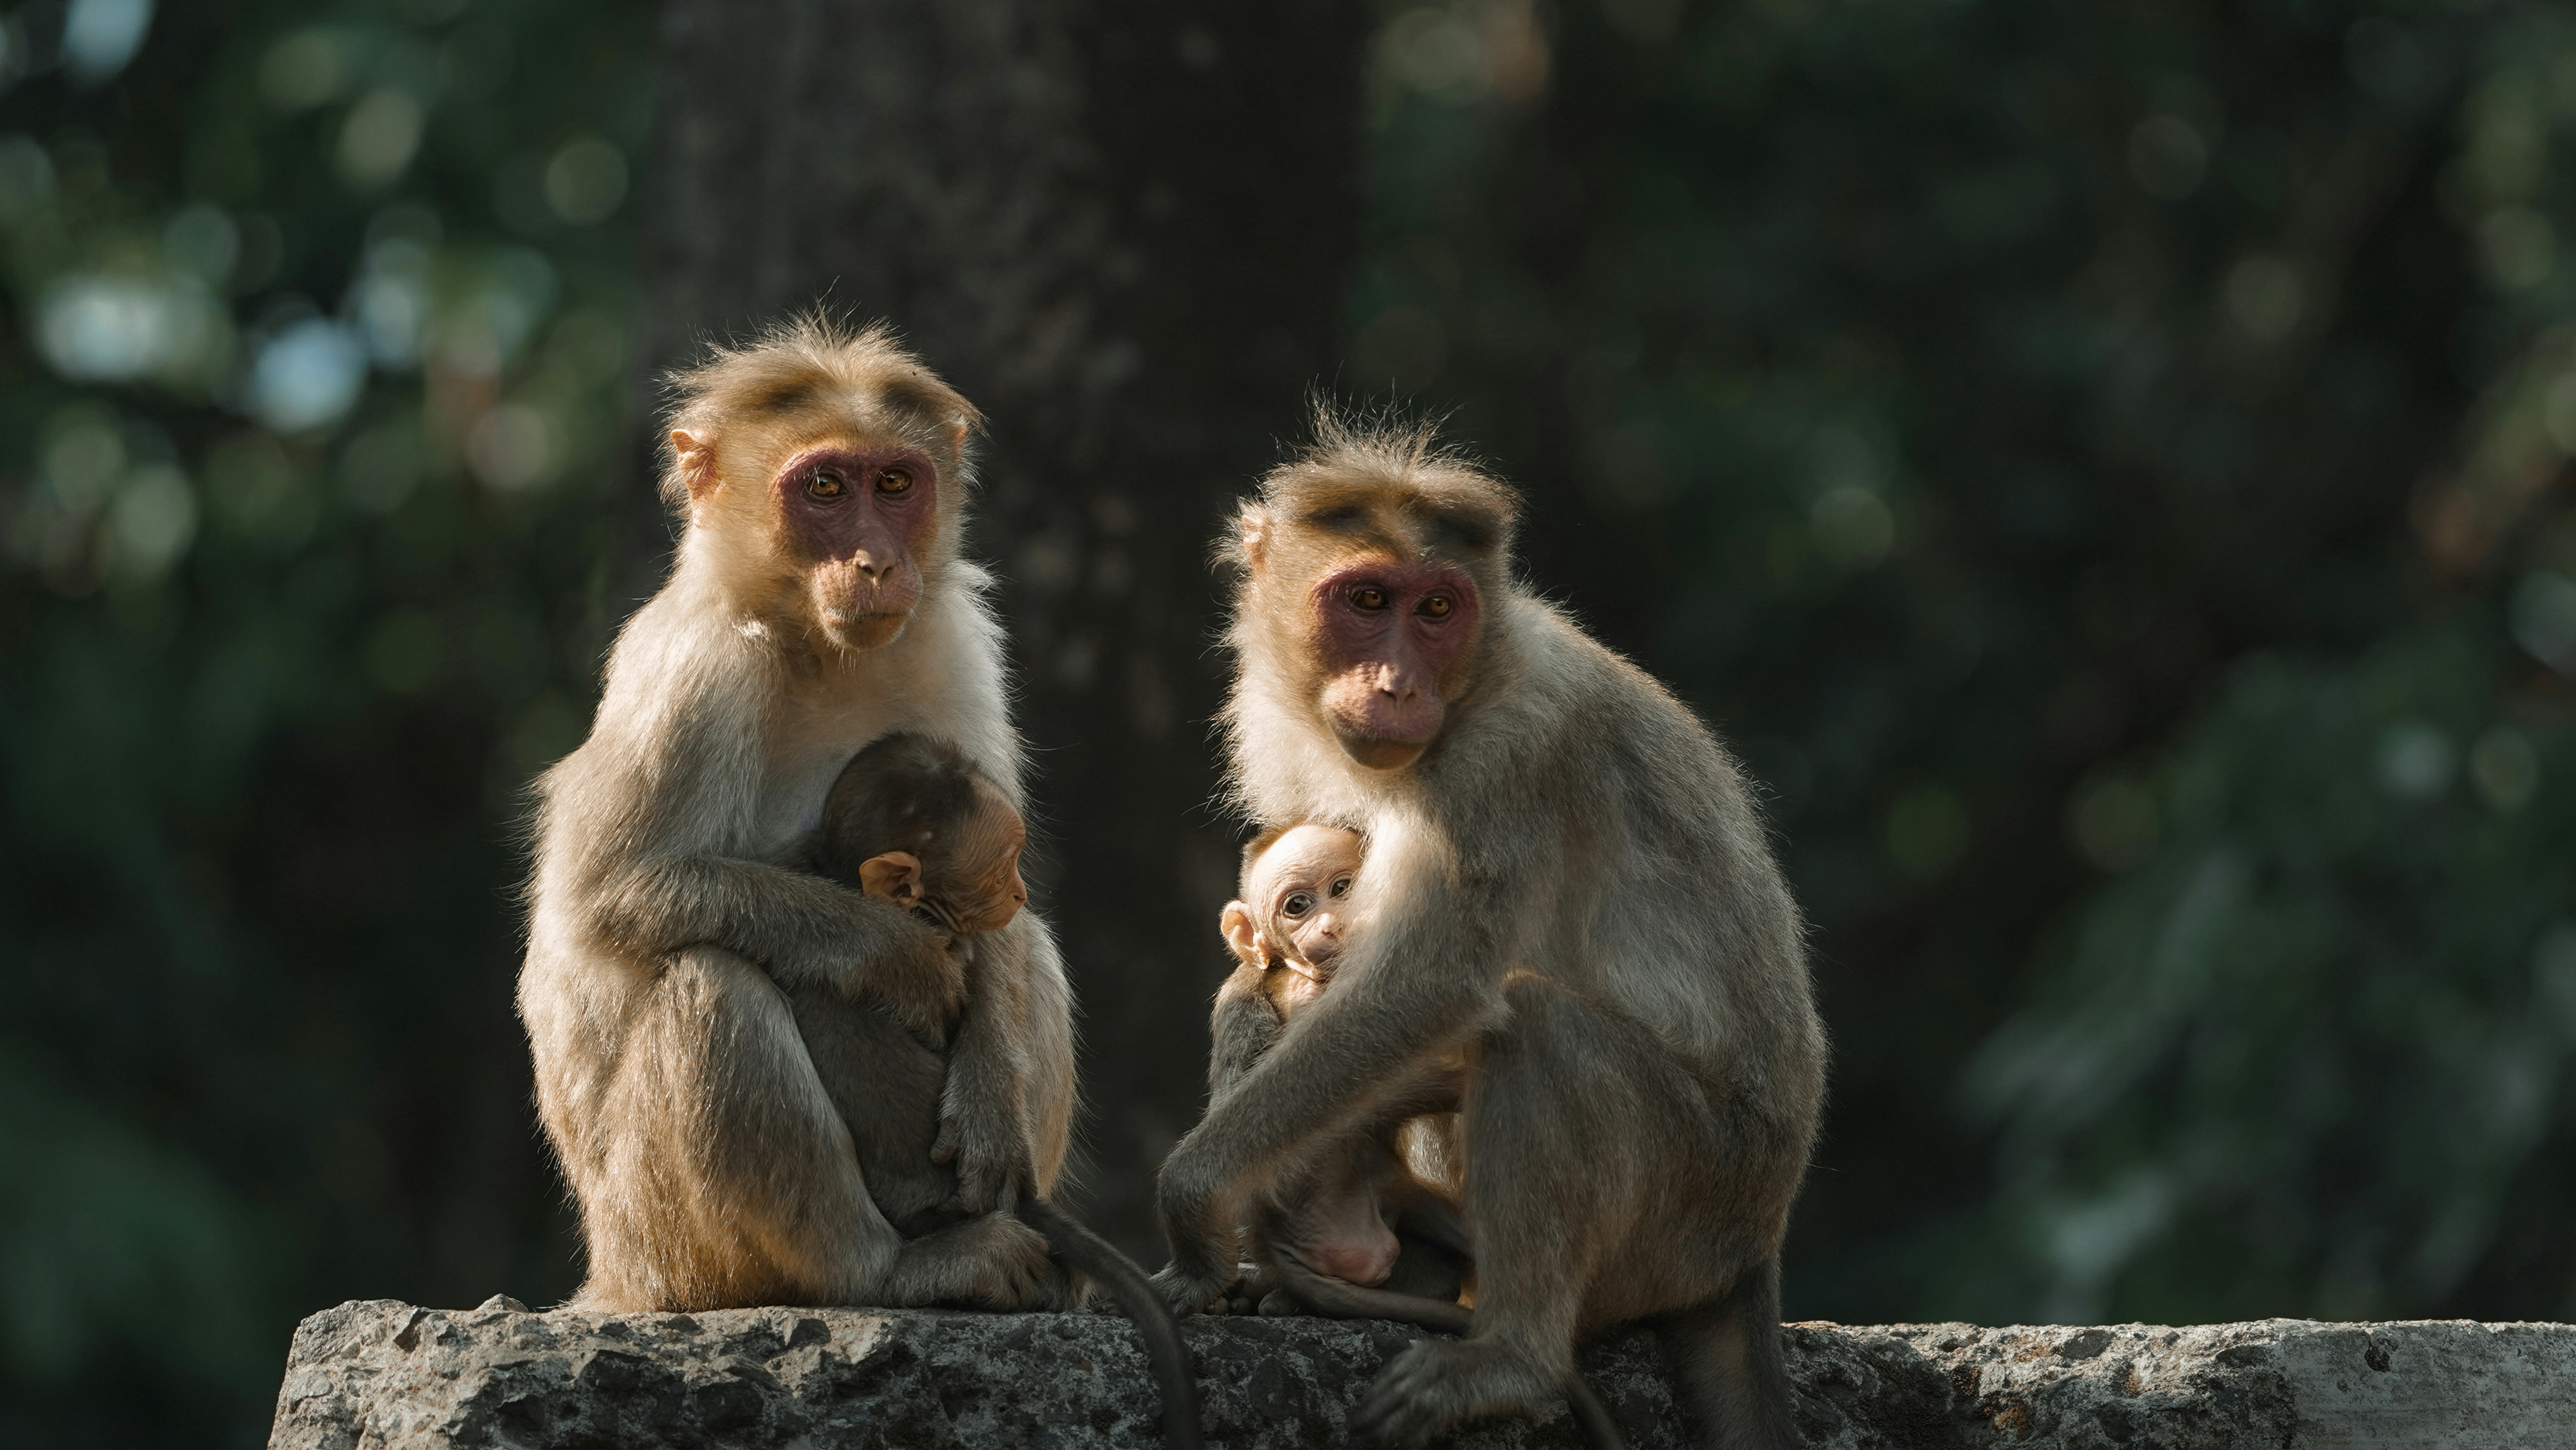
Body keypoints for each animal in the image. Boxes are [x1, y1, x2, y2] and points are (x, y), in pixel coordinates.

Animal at [518, 315, 1077, 1318]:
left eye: (892, 484)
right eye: (823, 489)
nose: (877, 562)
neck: (815, 645)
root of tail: (611, 1273)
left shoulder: (957, 637)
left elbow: (1002, 901)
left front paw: (986, 1097)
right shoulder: (695, 669)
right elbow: (607, 898)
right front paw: (895, 952)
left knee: (1034, 945)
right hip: (666, 1243)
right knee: (714, 981)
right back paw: (887, 1272)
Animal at [1152, 414, 1827, 1450]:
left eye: (1436, 609)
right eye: (1367, 600)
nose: (1396, 685)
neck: (1479, 674)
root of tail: (1756, 1248)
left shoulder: (1505, 754)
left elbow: (1429, 988)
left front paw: (1194, 1208)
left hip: (1693, 1203)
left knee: (1540, 1030)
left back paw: (1511, 1359)